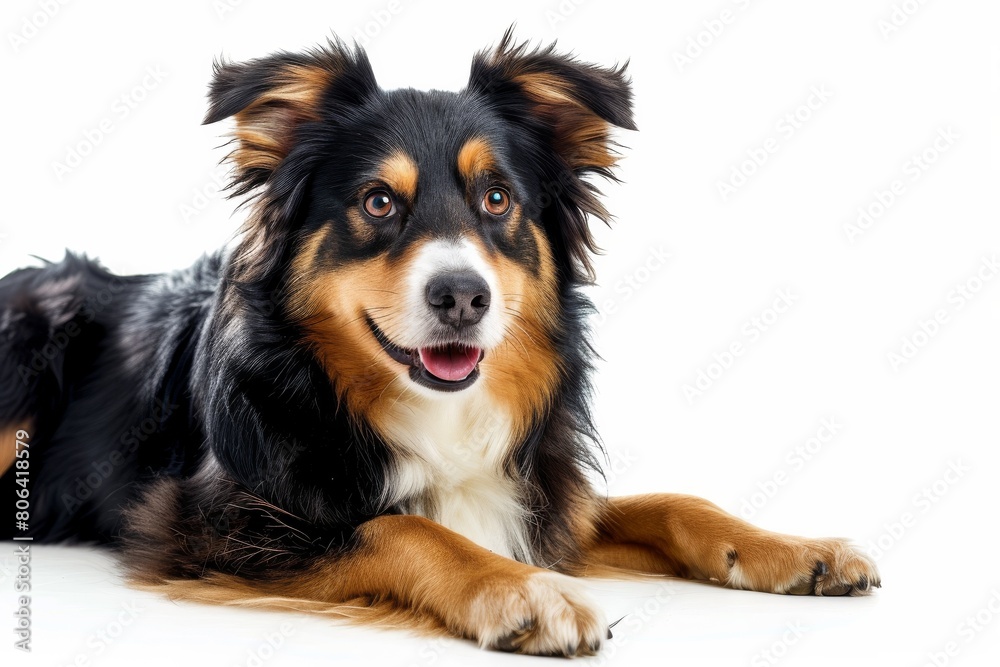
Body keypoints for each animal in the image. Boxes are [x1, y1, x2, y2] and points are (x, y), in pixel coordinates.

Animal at [0, 32, 876, 656]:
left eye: (497, 198)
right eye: (378, 202)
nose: (462, 294)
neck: (428, 410)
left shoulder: (541, 492)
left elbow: (673, 501)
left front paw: (797, 549)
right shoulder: (200, 515)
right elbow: (400, 524)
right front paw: (526, 593)